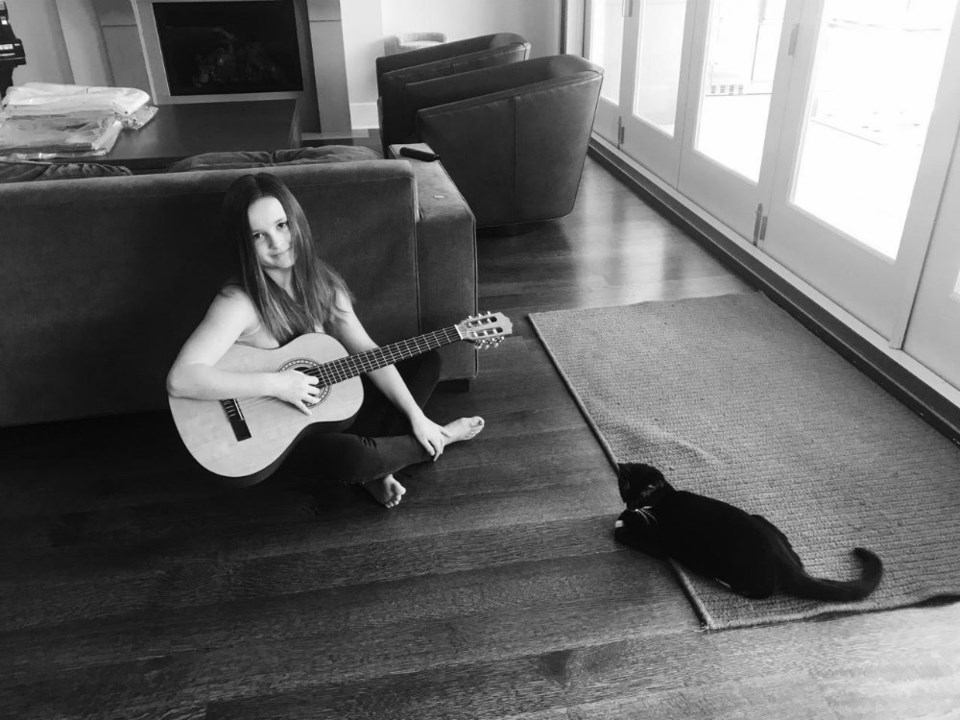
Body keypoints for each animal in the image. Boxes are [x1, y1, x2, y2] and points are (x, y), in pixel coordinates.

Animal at [616, 464, 884, 600]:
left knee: (764, 592)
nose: (629, 506)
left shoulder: (656, 543)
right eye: (625, 490)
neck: (662, 500)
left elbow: (620, 532)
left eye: (641, 496)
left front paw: (621, 523)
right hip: (762, 520)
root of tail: (789, 566)